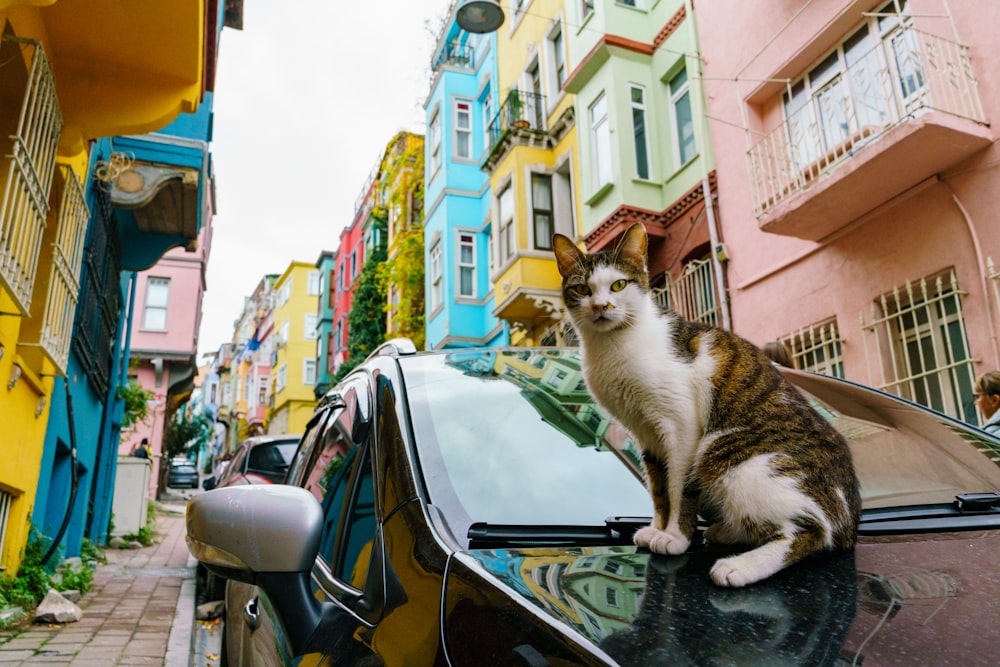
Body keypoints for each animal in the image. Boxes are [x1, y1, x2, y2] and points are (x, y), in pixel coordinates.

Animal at [552, 224, 864, 588]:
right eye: (582, 288)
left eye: (618, 285)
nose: (601, 305)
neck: (614, 344)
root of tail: (849, 518)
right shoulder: (646, 433)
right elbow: (658, 489)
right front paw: (656, 529)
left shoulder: (680, 423)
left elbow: (678, 488)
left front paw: (674, 536)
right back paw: (726, 532)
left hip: (725, 453)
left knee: (810, 530)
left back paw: (739, 566)